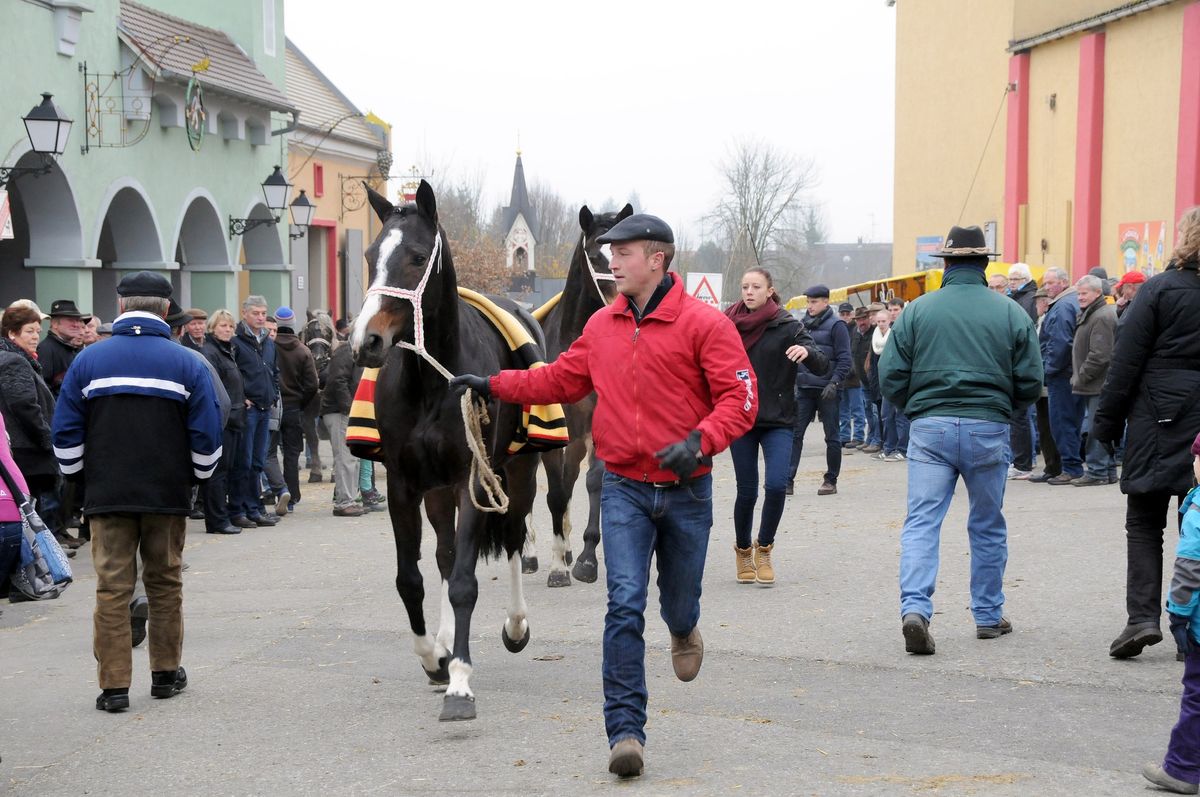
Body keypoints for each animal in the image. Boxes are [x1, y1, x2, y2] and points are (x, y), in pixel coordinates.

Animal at [350, 180, 540, 720]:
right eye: (371, 256)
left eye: (417, 257)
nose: (367, 340)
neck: (431, 384)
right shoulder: (405, 485)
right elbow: (412, 578)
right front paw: (435, 657)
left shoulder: (471, 481)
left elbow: (464, 582)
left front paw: (459, 680)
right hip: (436, 494)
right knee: (445, 552)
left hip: (520, 474)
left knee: (513, 536)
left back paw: (515, 625)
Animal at [530, 200, 633, 585]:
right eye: (595, 254)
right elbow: (554, 493)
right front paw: (558, 567)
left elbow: (593, 481)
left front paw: (586, 557)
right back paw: (531, 554)